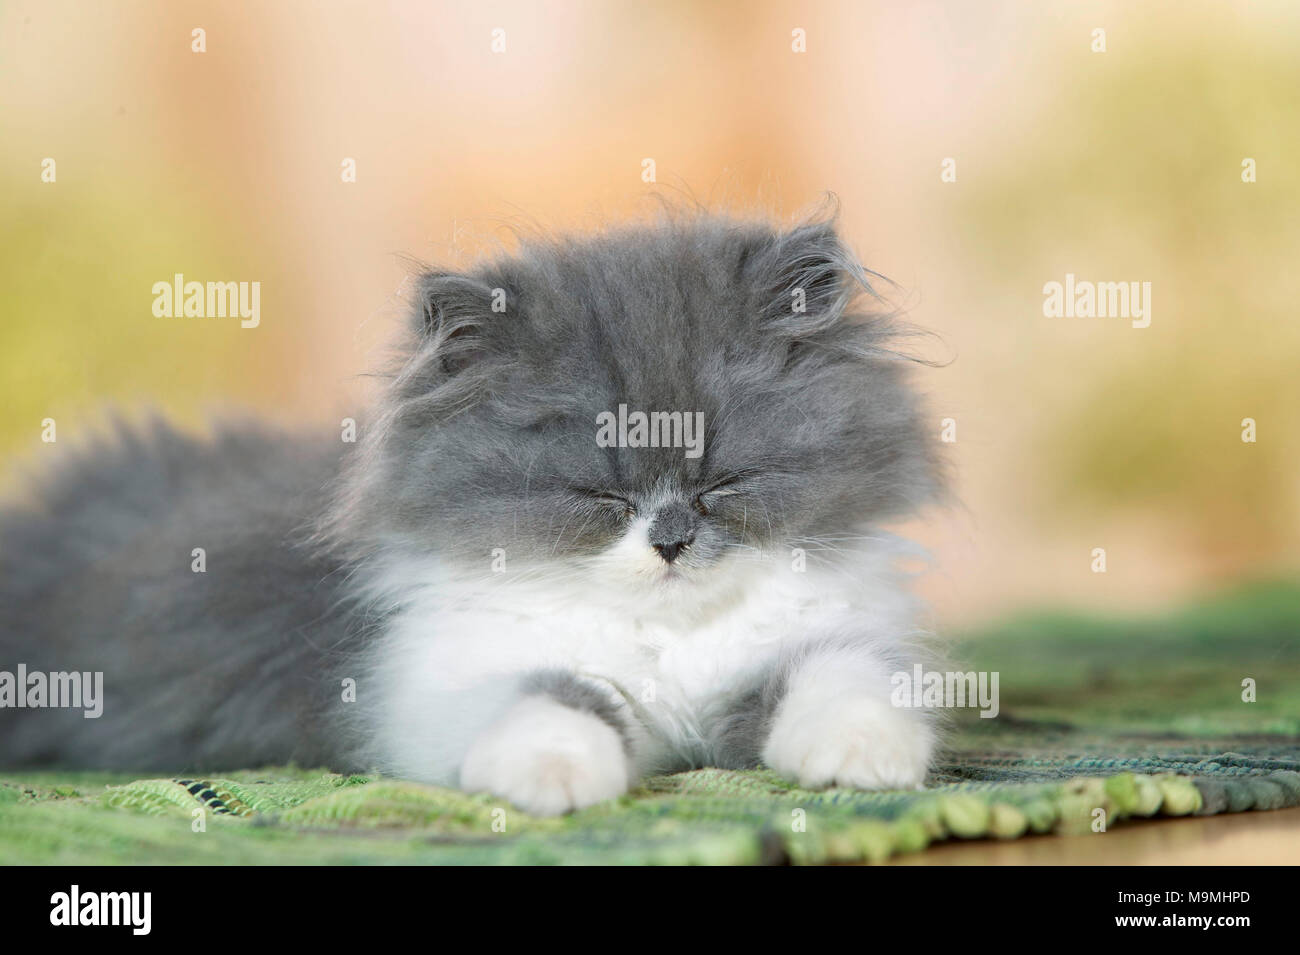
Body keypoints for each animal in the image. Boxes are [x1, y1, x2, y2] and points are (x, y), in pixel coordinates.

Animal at [5, 214, 951, 815]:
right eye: (599, 497)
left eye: (720, 482)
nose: (672, 539)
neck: (664, 639)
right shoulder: (433, 680)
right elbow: (554, 695)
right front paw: (552, 774)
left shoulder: (820, 632)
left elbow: (839, 677)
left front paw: (865, 754)